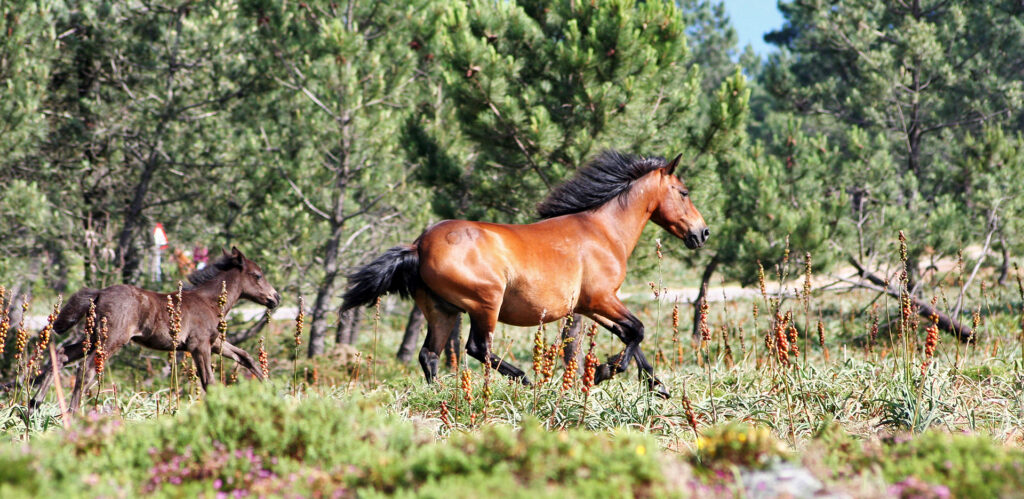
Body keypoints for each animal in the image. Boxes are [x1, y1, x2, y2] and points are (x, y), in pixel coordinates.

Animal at [30, 247, 280, 411]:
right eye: (258, 275)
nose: (275, 298)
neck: (208, 301)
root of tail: (99, 293)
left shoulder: (214, 342)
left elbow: (245, 356)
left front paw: (273, 389)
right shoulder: (198, 345)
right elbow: (209, 381)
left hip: (93, 337)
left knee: (62, 354)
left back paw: (35, 404)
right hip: (111, 339)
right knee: (86, 369)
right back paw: (71, 413)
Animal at [341, 150, 709, 398]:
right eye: (684, 192)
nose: (702, 233)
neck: (603, 231)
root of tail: (418, 246)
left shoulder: (589, 306)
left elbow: (629, 334)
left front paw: (657, 386)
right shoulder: (601, 299)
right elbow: (638, 330)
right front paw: (604, 372)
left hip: (442, 310)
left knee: (429, 354)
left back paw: (441, 395)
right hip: (485, 303)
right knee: (477, 348)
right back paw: (527, 380)